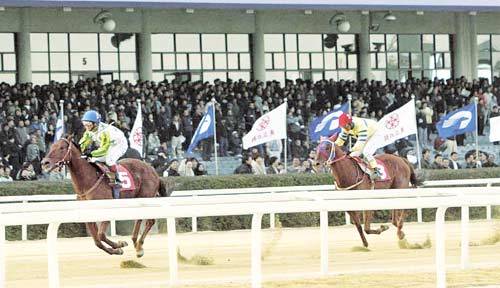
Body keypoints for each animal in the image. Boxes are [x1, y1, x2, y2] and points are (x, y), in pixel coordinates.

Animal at [41, 137, 170, 256]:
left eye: (62, 148)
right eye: (51, 147)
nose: (44, 163)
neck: (88, 182)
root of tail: (154, 171)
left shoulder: (106, 209)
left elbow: (101, 235)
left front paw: (119, 245)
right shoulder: (88, 215)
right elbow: (97, 241)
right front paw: (117, 249)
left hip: (145, 197)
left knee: (148, 221)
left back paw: (139, 246)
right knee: (141, 219)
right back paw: (135, 242)